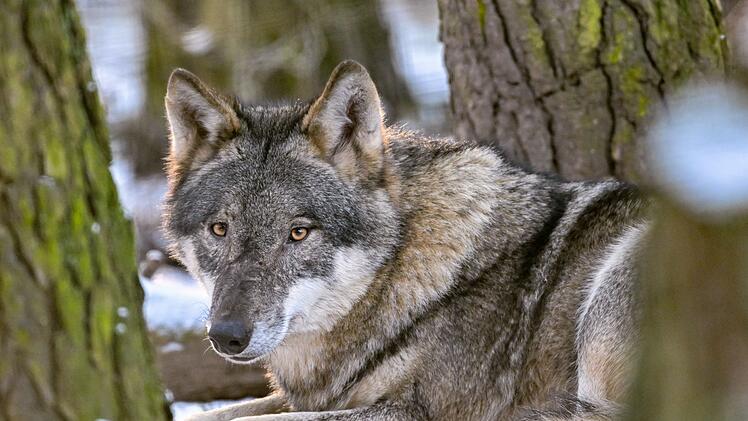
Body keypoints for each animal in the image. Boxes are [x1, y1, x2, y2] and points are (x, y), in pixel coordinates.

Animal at [162, 60, 648, 421]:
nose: (226, 336)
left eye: (298, 232)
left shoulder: (414, 410)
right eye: (220, 229)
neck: (399, 274)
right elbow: (212, 413)